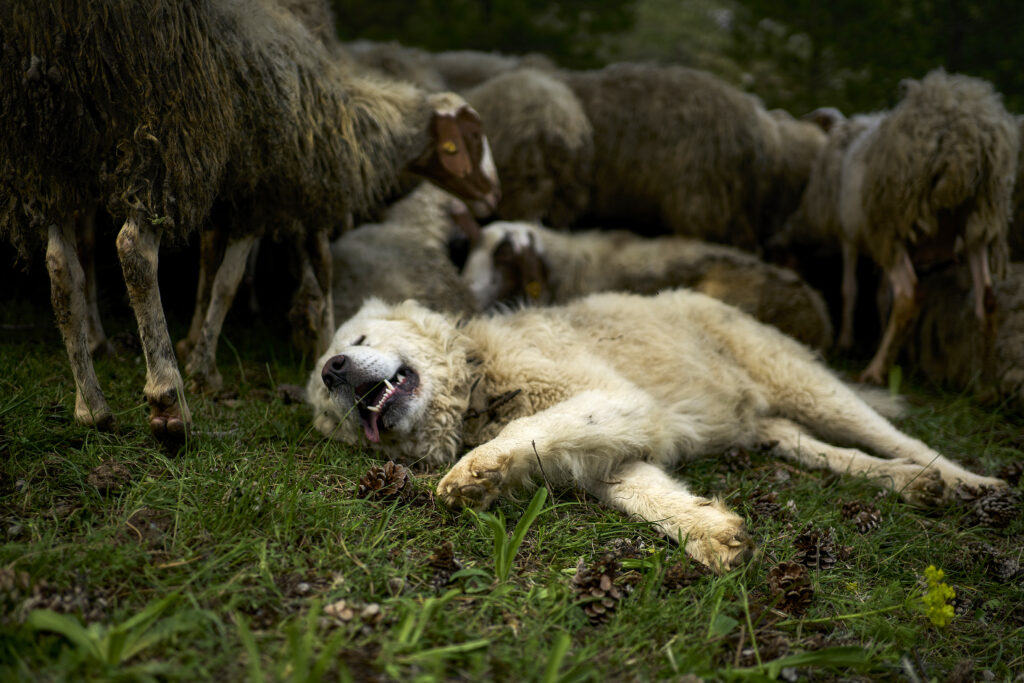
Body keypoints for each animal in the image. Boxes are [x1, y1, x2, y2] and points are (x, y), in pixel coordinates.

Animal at [0, 0, 495, 444]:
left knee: (62, 269)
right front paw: (210, 366)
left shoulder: (241, 194)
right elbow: (245, 277)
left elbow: (211, 264)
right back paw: (168, 401)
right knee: (133, 250)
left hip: (46, 159)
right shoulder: (269, 191)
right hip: (167, 132)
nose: (493, 197)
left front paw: (197, 342)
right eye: (469, 139)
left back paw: (91, 407)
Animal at [305, 288, 1007, 573]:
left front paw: (475, 473)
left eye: (356, 343)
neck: (478, 383)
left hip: (808, 386)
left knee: (899, 437)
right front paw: (714, 536)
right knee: (820, 450)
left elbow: (529, 428)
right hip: (770, 422)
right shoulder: (606, 457)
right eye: (327, 403)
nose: (334, 370)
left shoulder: (619, 404)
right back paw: (911, 485)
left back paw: (969, 483)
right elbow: (651, 499)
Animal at [790, 73, 1015, 389]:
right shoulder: (885, 242)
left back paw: (874, 371)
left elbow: (850, 289)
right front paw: (885, 342)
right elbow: (882, 296)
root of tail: (963, 138)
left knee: (909, 293)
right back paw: (985, 385)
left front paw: (846, 342)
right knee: (987, 300)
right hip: (978, 222)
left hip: (891, 221)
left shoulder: (852, 236)